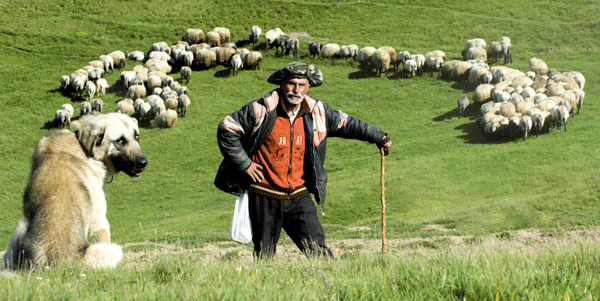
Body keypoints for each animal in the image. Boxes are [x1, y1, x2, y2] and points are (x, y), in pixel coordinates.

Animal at [2, 112, 148, 270]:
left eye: (137, 136)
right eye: (120, 141)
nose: (143, 163)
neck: (84, 147)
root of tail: (59, 262)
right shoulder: (99, 220)